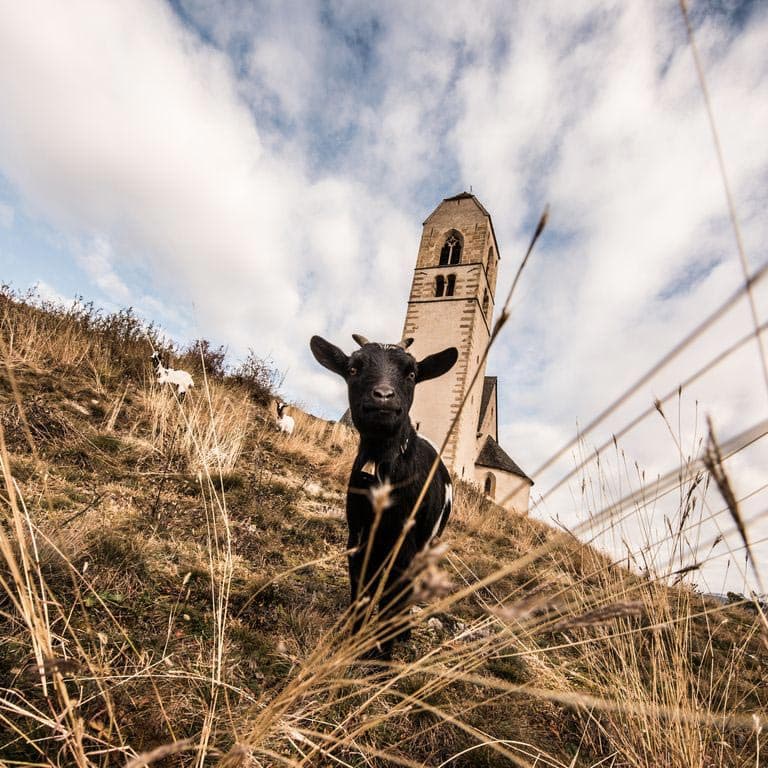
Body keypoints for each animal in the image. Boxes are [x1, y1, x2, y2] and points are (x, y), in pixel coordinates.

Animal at [310, 330, 456, 656]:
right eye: (353, 368)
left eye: (412, 373)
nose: (383, 397)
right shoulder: (358, 538)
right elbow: (361, 594)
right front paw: (354, 643)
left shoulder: (407, 547)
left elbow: (393, 600)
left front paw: (383, 657)